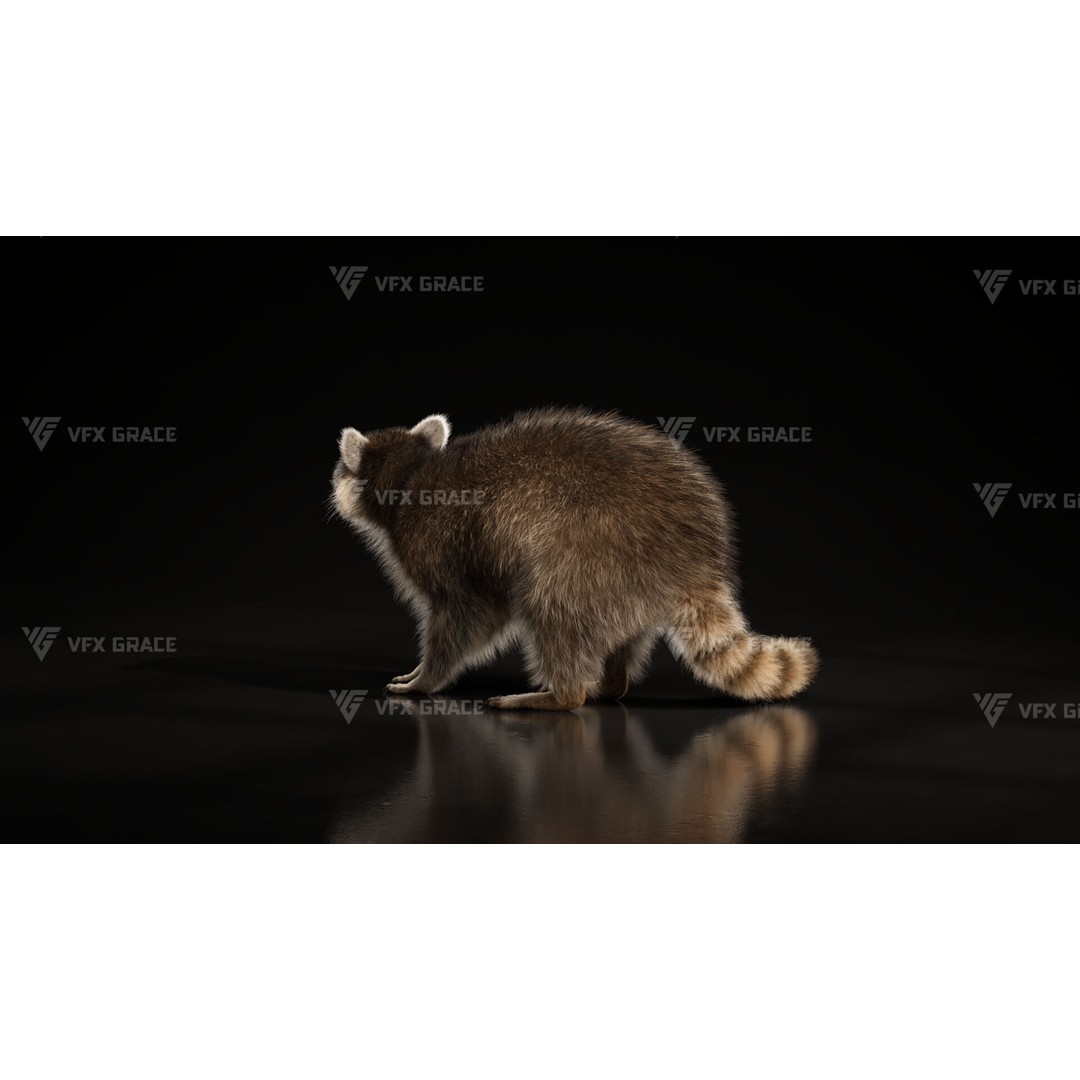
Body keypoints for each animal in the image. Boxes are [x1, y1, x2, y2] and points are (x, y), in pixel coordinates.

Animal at [331, 408, 818, 711]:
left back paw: (563, 694)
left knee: (552, 606)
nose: (333, 480)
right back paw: (610, 681)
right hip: (626, 581)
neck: (410, 474)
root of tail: (693, 554)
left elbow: (470, 615)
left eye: (341, 468)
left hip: (589, 550)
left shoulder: (443, 544)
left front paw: (425, 677)